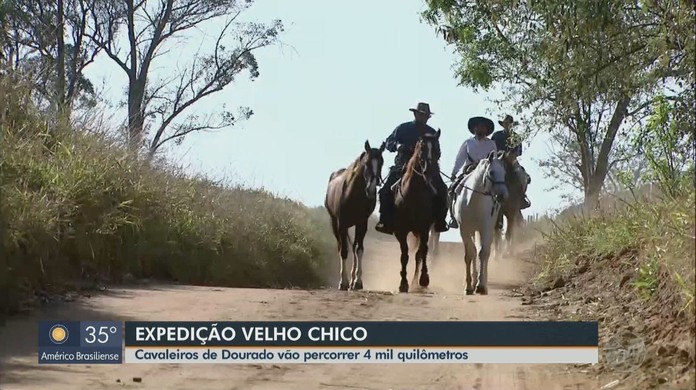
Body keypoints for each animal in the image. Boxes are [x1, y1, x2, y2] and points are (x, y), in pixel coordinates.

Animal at [324, 139, 386, 290]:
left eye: (381, 163)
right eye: (367, 163)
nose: (371, 189)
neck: (352, 194)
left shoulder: (362, 223)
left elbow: (359, 249)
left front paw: (357, 281)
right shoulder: (341, 224)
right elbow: (344, 251)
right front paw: (343, 282)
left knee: (354, 247)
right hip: (335, 223)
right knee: (341, 247)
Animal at [392, 131, 440, 292]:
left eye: (438, 149)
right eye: (422, 149)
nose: (429, 171)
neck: (414, 194)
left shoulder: (424, 228)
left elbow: (422, 252)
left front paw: (424, 279)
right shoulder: (401, 230)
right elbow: (404, 255)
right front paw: (403, 283)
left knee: (420, 253)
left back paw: (416, 282)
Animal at [448, 151, 508, 294]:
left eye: (504, 173)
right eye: (491, 172)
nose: (503, 195)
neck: (474, 200)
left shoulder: (485, 229)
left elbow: (483, 253)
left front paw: (481, 286)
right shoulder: (464, 230)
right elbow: (470, 254)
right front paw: (469, 286)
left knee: (484, 252)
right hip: (472, 231)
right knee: (474, 251)